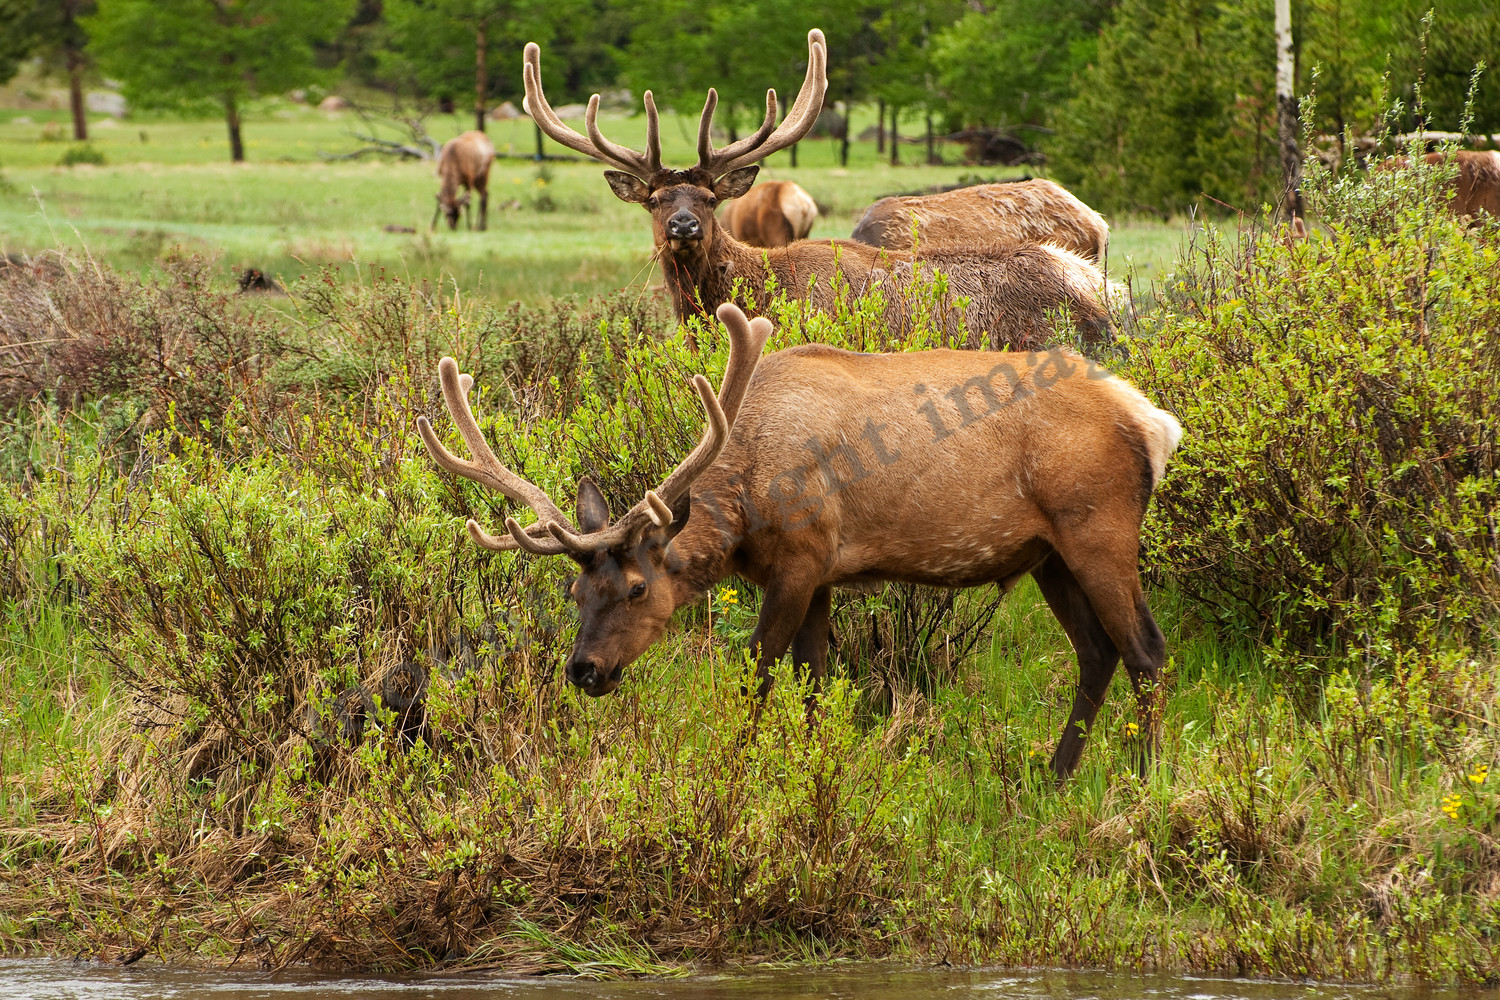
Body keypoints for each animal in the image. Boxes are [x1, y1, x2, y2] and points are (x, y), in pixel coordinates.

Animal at [418, 302, 1183, 780]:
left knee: (1147, 651)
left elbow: (757, 671)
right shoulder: (821, 575)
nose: (584, 670)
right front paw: (814, 771)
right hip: (1049, 554)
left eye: (637, 588)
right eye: (577, 592)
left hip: (1098, 526)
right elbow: (815, 682)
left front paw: (735, 774)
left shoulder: (803, 556)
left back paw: (1146, 778)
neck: (746, 501)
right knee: (1097, 653)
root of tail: (1153, 421)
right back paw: (1054, 775)